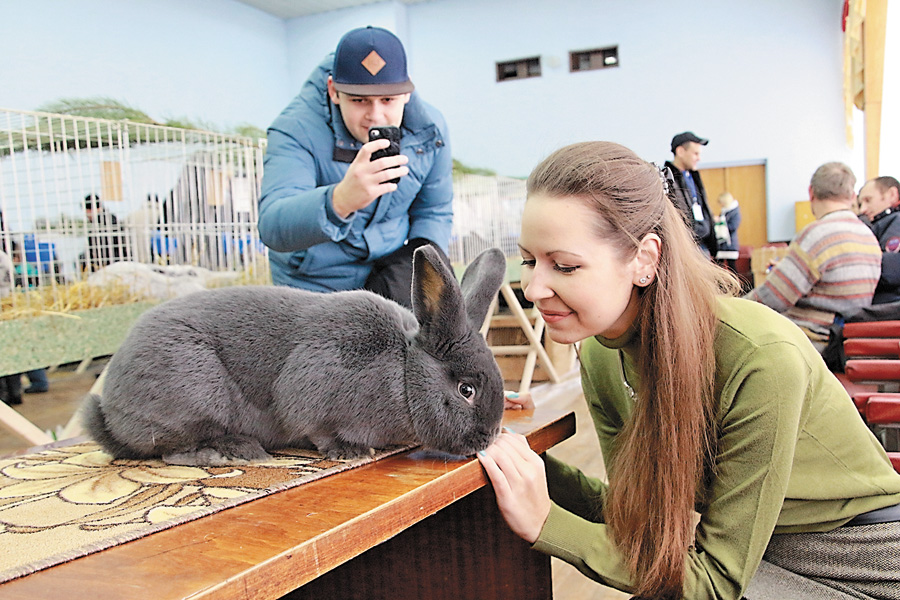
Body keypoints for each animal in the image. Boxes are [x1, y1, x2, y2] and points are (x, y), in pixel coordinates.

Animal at [83, 246, 506, 466]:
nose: (486, 439)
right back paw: (235, 453)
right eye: (466, 390)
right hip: (194, 397)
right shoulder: (314, 388)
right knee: (173, 452)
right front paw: (351, 452)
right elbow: (316, 426)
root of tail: (110, 410)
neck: (403, 370)